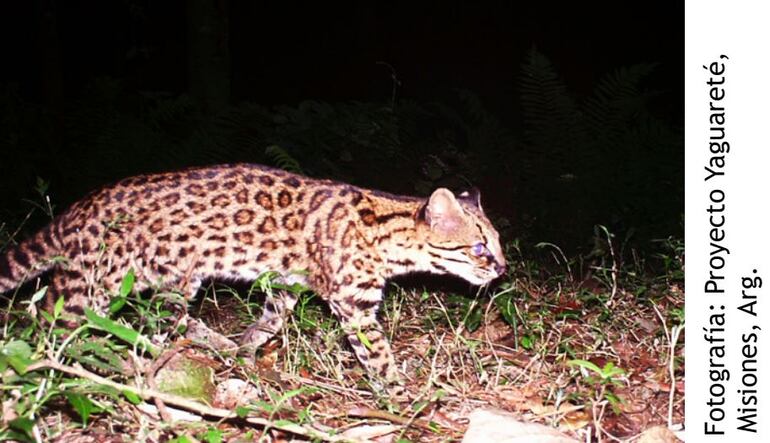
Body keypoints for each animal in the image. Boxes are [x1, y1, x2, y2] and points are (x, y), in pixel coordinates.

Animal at [0, 165, 504, 384]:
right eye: (479, 248)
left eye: (498, 243)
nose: (502, 268)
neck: (386, 225)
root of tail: (78, 209)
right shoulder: (354, 304)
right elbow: (376, 351)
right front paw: (398, 390)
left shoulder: (287, 282)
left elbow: (273, 319)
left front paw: (248, 344)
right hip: (107, 278)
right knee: (55, 315)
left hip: (163, 280)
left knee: (164, 320)